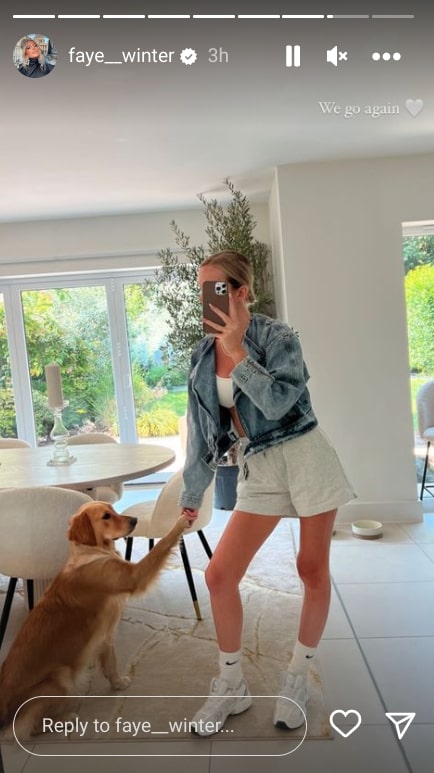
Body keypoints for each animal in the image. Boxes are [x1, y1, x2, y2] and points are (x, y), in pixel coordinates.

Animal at [0, 498, 190, 740]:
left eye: (114, 510)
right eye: (106, 516)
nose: (135, 520)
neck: (93, 552)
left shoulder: (105, 636)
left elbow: (111, 663)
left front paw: (118, 683)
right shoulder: (135, 576)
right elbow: (163, 543)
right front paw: (180, 521)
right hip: (61, 677)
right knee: (25, 727)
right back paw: (65, 719)